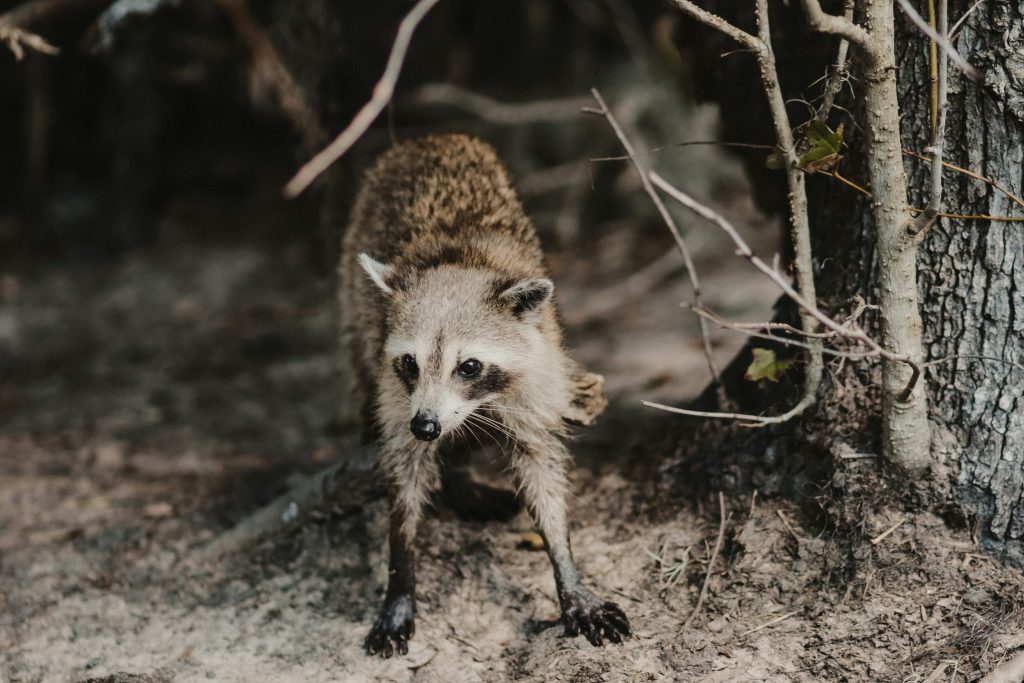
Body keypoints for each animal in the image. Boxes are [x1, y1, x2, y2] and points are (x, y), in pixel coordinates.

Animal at [339, 132, 626, 655]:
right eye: (410, 363)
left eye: (469, 366)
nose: (426, 425)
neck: (459, 264)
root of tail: (430, 137)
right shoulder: (398, 391)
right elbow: (403, 479)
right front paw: (400, 573)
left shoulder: (537, 376)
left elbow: (543, 474)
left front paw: (566, 566)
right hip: (353, 294)